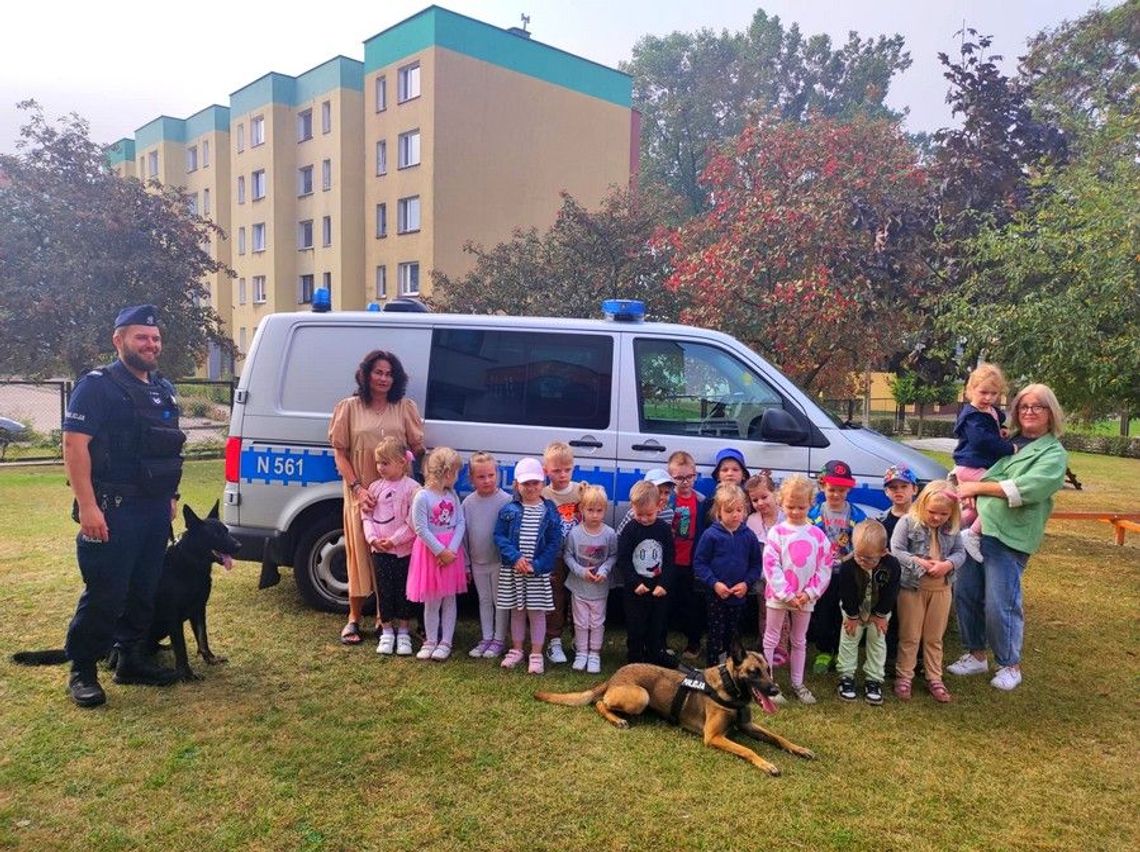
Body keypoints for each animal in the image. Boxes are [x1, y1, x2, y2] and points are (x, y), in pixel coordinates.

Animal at [13, 504, 240, 684]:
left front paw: (210, 658)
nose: (239, 545)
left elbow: (203, 637)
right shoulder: (174, 617)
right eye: (216, 534)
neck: (190, 564)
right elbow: (182, 648)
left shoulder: (198, 610)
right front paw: (187, 674)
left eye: (226, 530)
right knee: (113, 658)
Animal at [531, 643, 811, 775]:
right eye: (753, 672)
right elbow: (748, 749)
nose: (774, 690)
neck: (730, 686)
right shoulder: (714, 736)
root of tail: (612, 677)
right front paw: (767, 764)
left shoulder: (748, 725)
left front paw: (799, 748)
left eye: (768, 670)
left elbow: (778, 737)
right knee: (600, 703)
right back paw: (617, 719)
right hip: (640, 696)